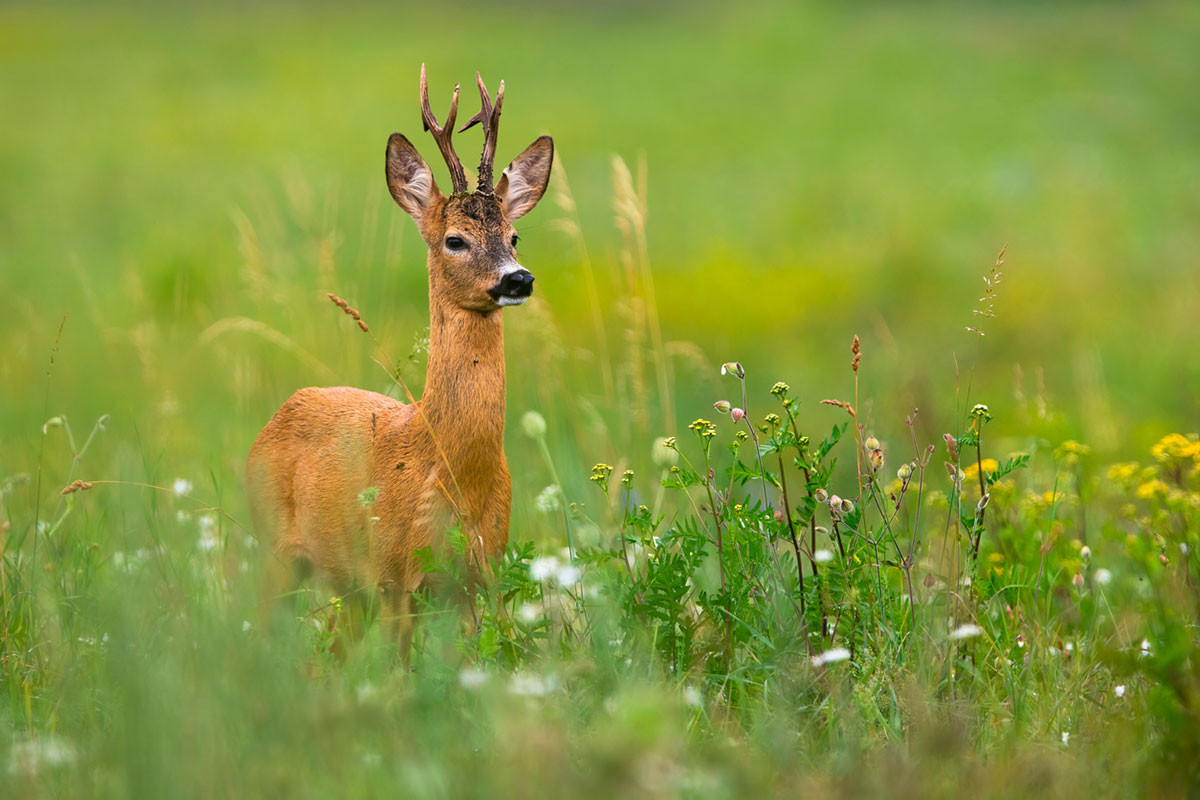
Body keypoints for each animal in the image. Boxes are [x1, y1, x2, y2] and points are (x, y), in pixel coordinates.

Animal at [249, 67, 556, 642]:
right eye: (455, 239)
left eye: (514, 236)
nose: (518, 278)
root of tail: (278, 414)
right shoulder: (393, 576)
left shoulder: (478, 578)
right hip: (274, 548)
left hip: (346, 585)